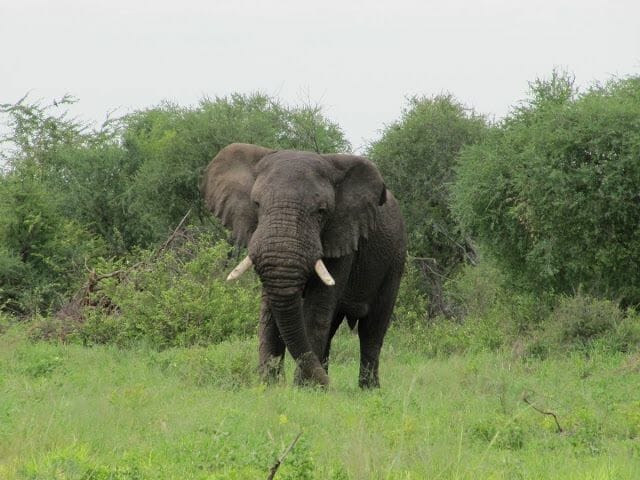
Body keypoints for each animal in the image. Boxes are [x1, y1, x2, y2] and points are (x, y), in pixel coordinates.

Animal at [201, 143, 406, 388]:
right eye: (257, 204)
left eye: (321, 211)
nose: (331, 385)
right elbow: (270, 310)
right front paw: (268, 386)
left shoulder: (342, 235)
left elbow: (316, 308)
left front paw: (304, 388)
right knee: (333, 326)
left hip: (395, 259)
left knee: (372, 329)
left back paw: (368, 389)